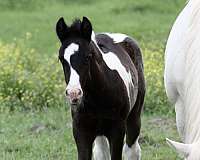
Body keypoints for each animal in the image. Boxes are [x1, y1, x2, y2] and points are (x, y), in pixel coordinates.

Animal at [56, 16, 145, 159]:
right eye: (61, 59)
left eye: (88, 56)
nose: (74, 93)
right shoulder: (81, 130)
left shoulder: (117, 129)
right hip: (99, 132)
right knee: (101, 152)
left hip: (134, 115)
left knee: (132, 150)